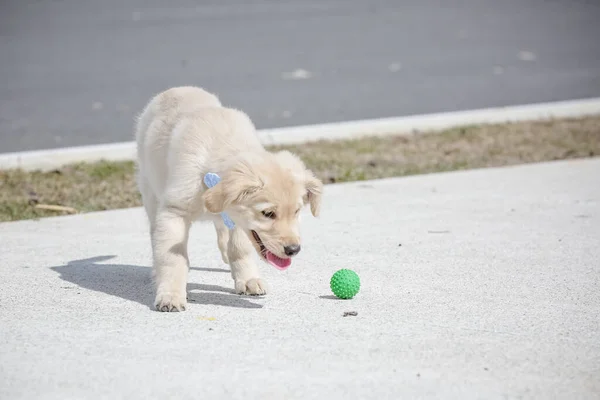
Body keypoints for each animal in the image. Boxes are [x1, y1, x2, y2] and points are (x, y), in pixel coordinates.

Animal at [135, 86, 324, 312]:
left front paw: (248, 279)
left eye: (296, 212)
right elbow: (172, 256)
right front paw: (170, 295)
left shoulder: (239, 221)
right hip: (150, 192)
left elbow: (239, 248)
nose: (293, 250)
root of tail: (175, 89)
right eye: (268, 213)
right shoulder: (174, 212)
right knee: (155, 231)